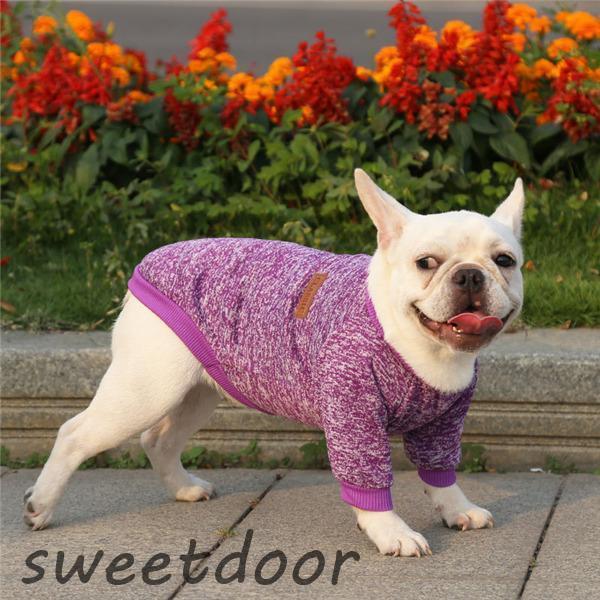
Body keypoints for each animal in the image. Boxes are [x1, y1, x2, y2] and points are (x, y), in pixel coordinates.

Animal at [23, 169, 524, 557]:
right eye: (426, 263)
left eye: (505, 260)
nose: (469, 275)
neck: (425, 349)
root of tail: (146, 264)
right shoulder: (354, 415)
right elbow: (368, 481)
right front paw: (391, 533)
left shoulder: (443, 422)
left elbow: (440, 472)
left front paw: (456, 509)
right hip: (146, 390)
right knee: (76, 434)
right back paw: (40, 505)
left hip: (197, 391)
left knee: (158, 440)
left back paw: (184, 488)